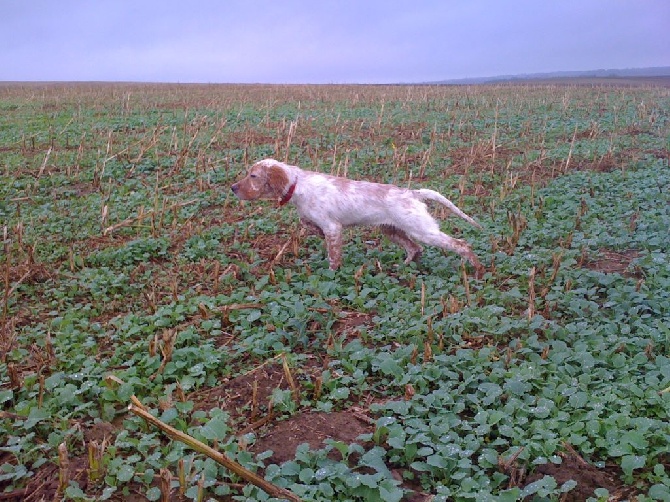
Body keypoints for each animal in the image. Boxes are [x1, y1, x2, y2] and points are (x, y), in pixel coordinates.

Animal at [234, 159, 486, 274]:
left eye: (253, 176)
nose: (233, 187)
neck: (298, 185)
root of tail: (412, 193)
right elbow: (306, 222)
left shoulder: (333, 228)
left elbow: (333, 257)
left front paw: (331, 274)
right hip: (391, 229)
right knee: (415, 249)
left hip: (423, 230)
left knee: (461, 244)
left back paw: (478, 270)